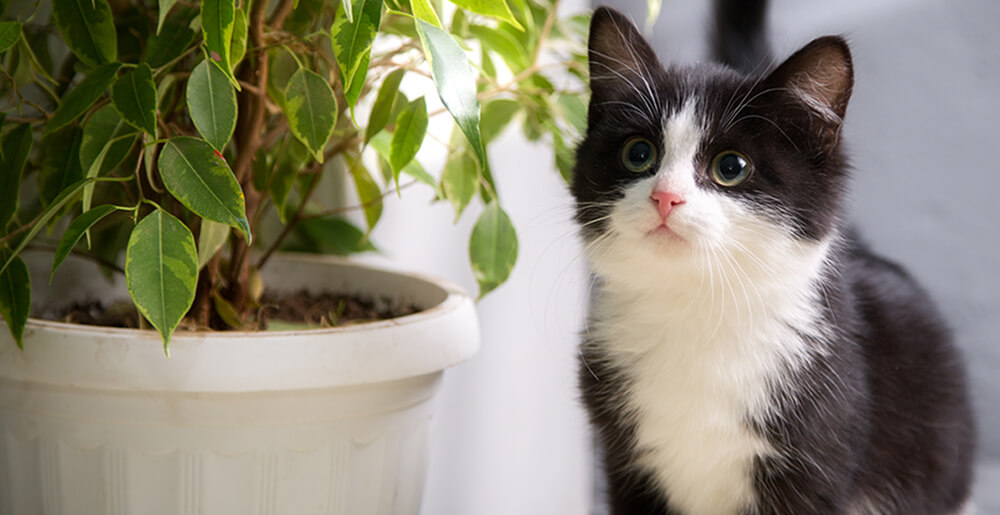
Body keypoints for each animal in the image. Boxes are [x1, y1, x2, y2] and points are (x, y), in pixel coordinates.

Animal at [576, 4, 972, 515]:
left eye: (730, 167)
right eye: (638, 153)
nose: (665, 197)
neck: (698, 313)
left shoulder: (816, 456)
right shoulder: (624, 461)